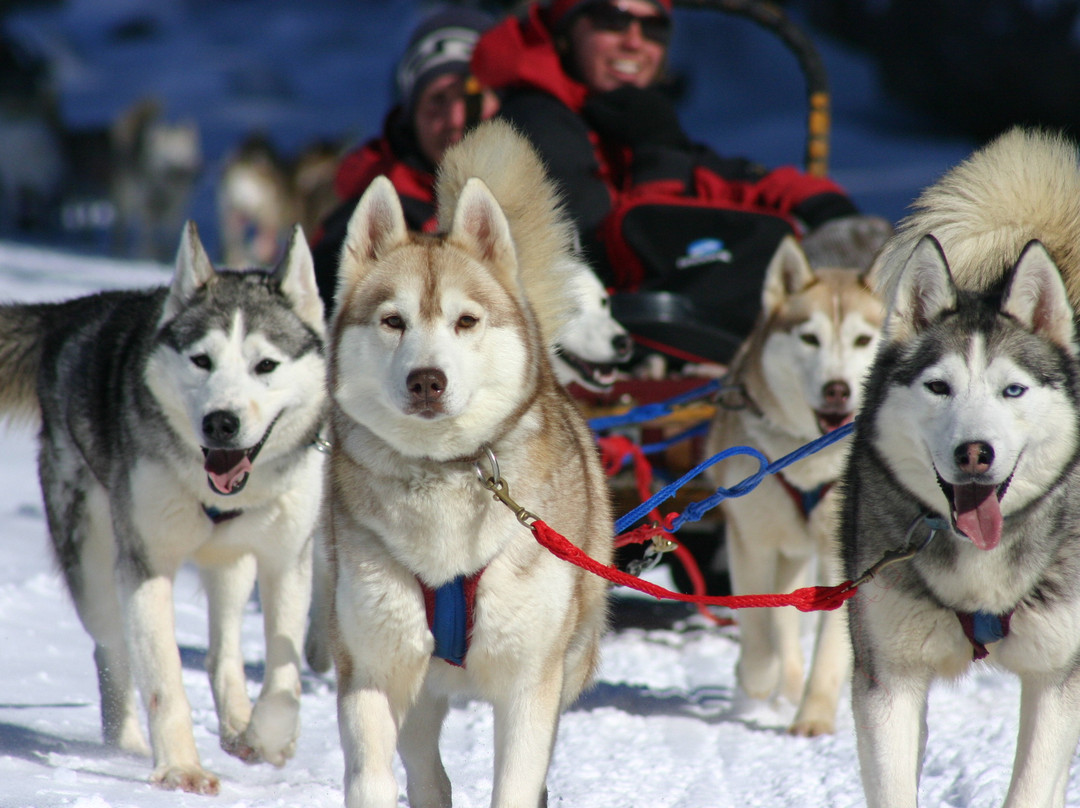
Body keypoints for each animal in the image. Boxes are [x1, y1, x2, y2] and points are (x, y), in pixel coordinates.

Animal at [0, 223, 326, 790]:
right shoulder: (145, 566)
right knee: (112, 649)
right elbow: (163, 676)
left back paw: (237, 721)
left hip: (231, 565)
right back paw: (128, 743)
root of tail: (75, 314)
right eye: (202, 360)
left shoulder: (286, 561)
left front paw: (268, 738)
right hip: (92, 566)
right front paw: (180, 767)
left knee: (223, 648)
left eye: (265, 365)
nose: (221, 422)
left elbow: (283, 675)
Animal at [319, 118, 613, 808]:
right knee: (428, 771)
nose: (428, 379)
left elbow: (517, 785)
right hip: (417, 684)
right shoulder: (370, 668)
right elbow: (371, 776)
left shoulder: (530, 686)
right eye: (393, 320)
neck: (443, 478)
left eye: (466, 320)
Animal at [708, 236, 885, 734]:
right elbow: (758, 628)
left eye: (863, 340)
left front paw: (814, 716)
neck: (810, 456)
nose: (837, 389)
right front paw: (758, 677)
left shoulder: (843, 558)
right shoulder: (750, 540)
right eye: (809, 338)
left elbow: (830, 647)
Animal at [842, 128, 1080, 808]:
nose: (975, 452)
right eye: (939, 387)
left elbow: (1032, 786)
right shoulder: (888, 678)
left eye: (1013, 390)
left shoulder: (1057, 676)